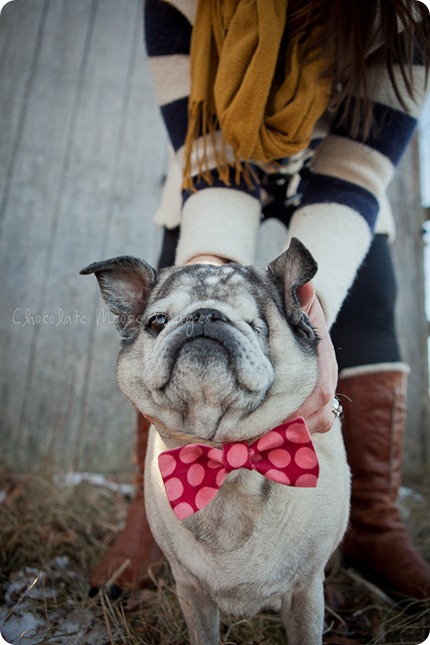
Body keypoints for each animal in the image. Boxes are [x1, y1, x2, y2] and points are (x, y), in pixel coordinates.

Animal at [80, 239, 350, 644]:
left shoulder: (304, 592)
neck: (228, 462)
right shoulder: (191, 592)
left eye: (257, 325)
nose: (205, 315)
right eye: (157, 322)